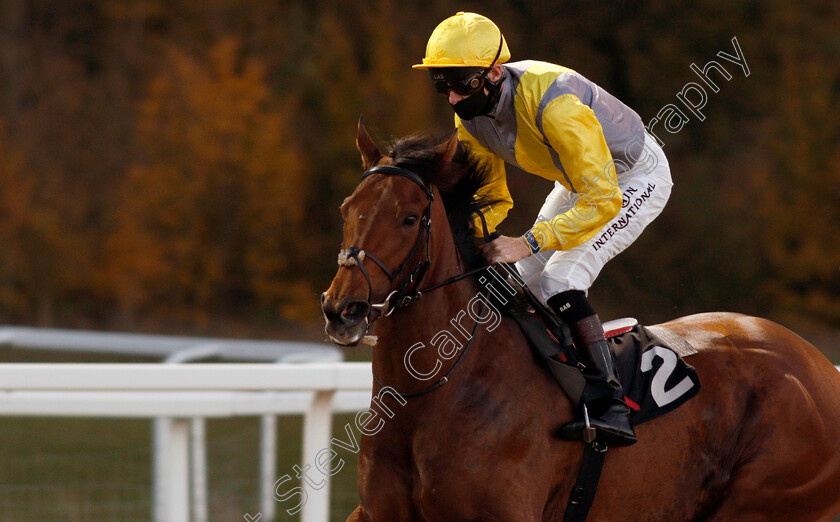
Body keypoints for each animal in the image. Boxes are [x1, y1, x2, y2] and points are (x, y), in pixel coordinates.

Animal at [320, 123, 840, 520]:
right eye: (346, 209)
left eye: (409, 219)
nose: (341, 309)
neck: (436, 388)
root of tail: (819, 368)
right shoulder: (378, 511)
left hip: (767, 499)